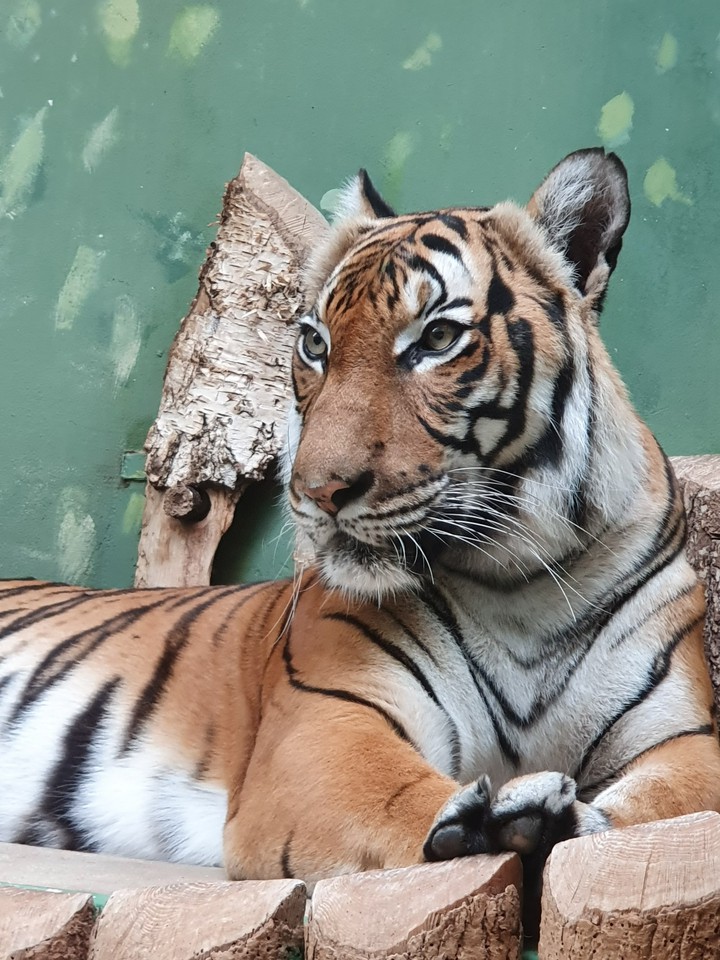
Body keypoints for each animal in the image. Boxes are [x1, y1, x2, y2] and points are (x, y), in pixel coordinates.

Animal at [1, 149, 719, 916]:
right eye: (314, 344)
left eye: (438, 338)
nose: (316, 490)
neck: (520, 580)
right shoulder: (324, 726)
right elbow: (401, 798)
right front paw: (495, 822)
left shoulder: (685, 738)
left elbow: (661, 812)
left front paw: (552, 818)